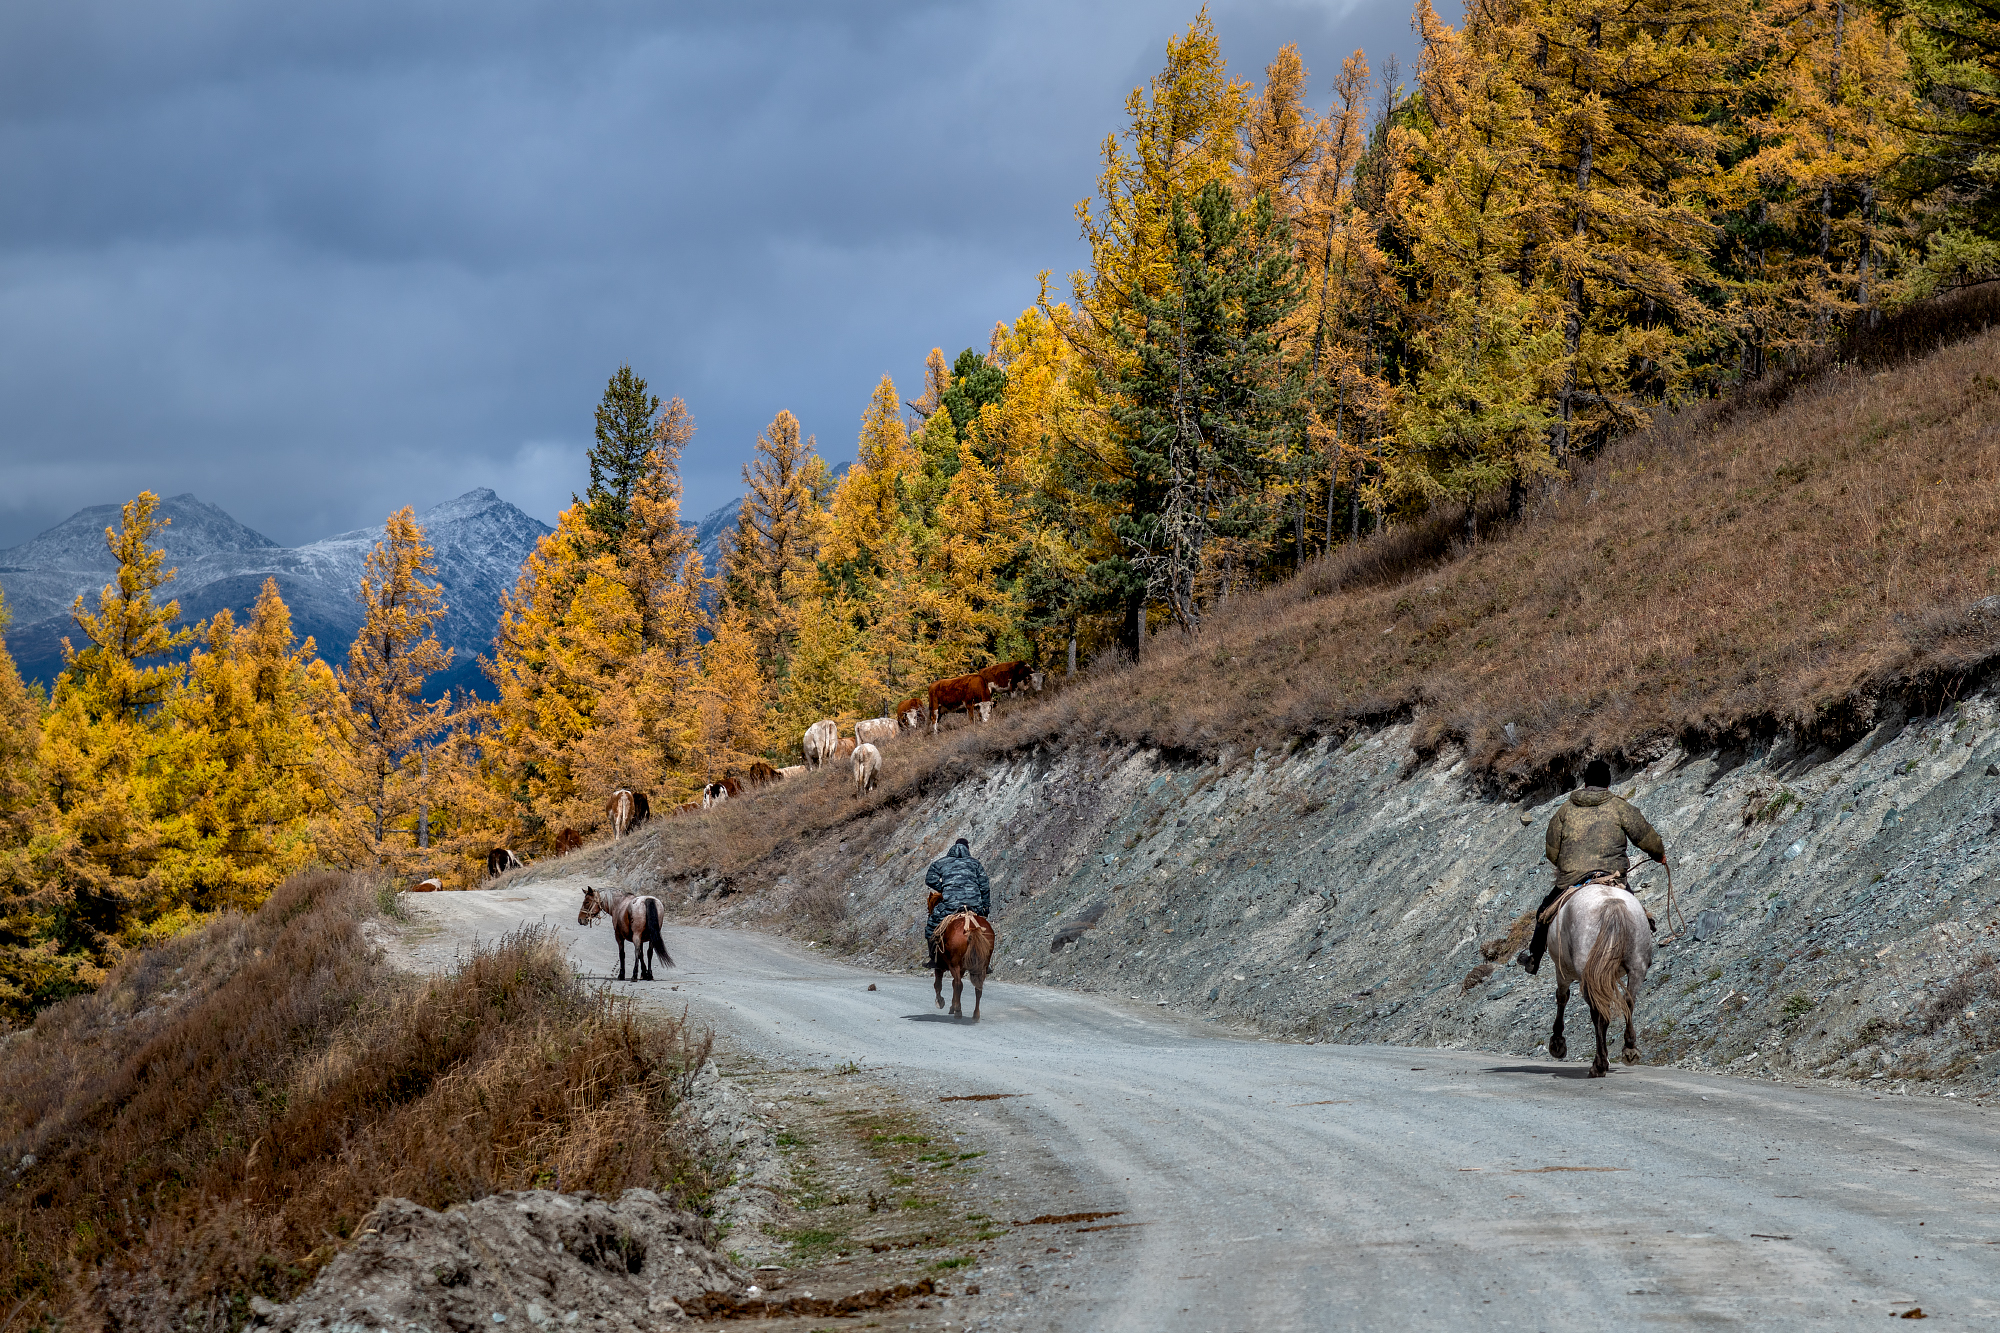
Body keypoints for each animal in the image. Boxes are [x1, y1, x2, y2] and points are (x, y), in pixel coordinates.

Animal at [1544, 876, 1656, 1072]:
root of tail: (1613, 905)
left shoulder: (1563, 971)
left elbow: (1562, 997)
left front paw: (1557, 1043)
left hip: (1588, 974)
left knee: (1597, 1011)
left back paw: (1599, 1063)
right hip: (1636, 967)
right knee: (1628, 1001)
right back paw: (1629, 1049)